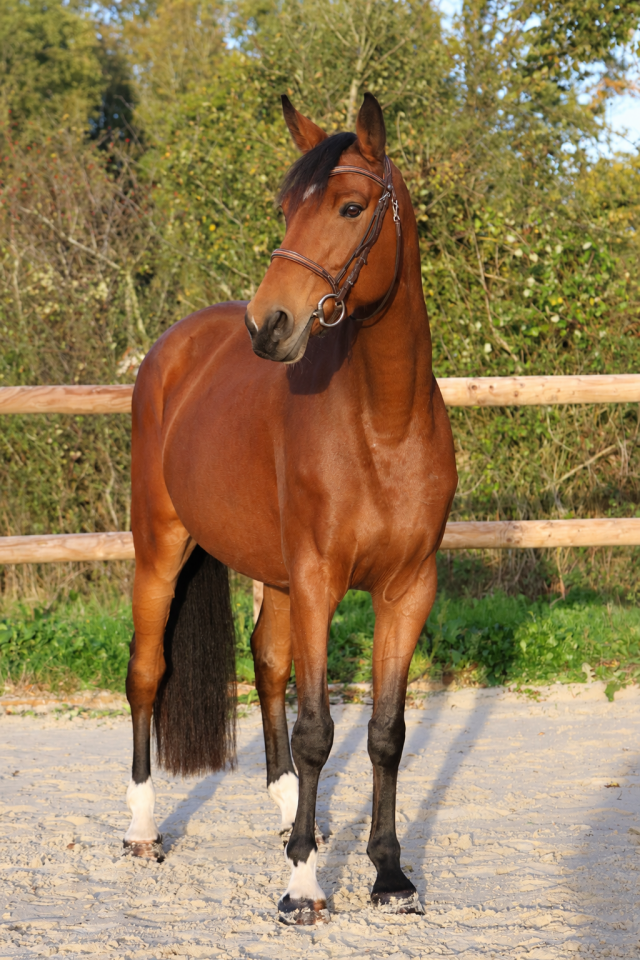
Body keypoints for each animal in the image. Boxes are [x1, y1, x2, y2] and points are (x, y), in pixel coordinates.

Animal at [123, 92, 457, 925]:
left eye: (350, 206)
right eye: (285, 207)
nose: (269, 323)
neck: (384, 423)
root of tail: (175, 347)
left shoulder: (408, 590)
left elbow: (385, 732)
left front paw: (389, 875)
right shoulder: (317, 583)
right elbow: (317, 731)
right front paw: (304, 886)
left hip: (270, 571)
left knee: (268, 665)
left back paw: (285, 816)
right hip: (159, 548)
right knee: (146, 673)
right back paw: (142, 830)